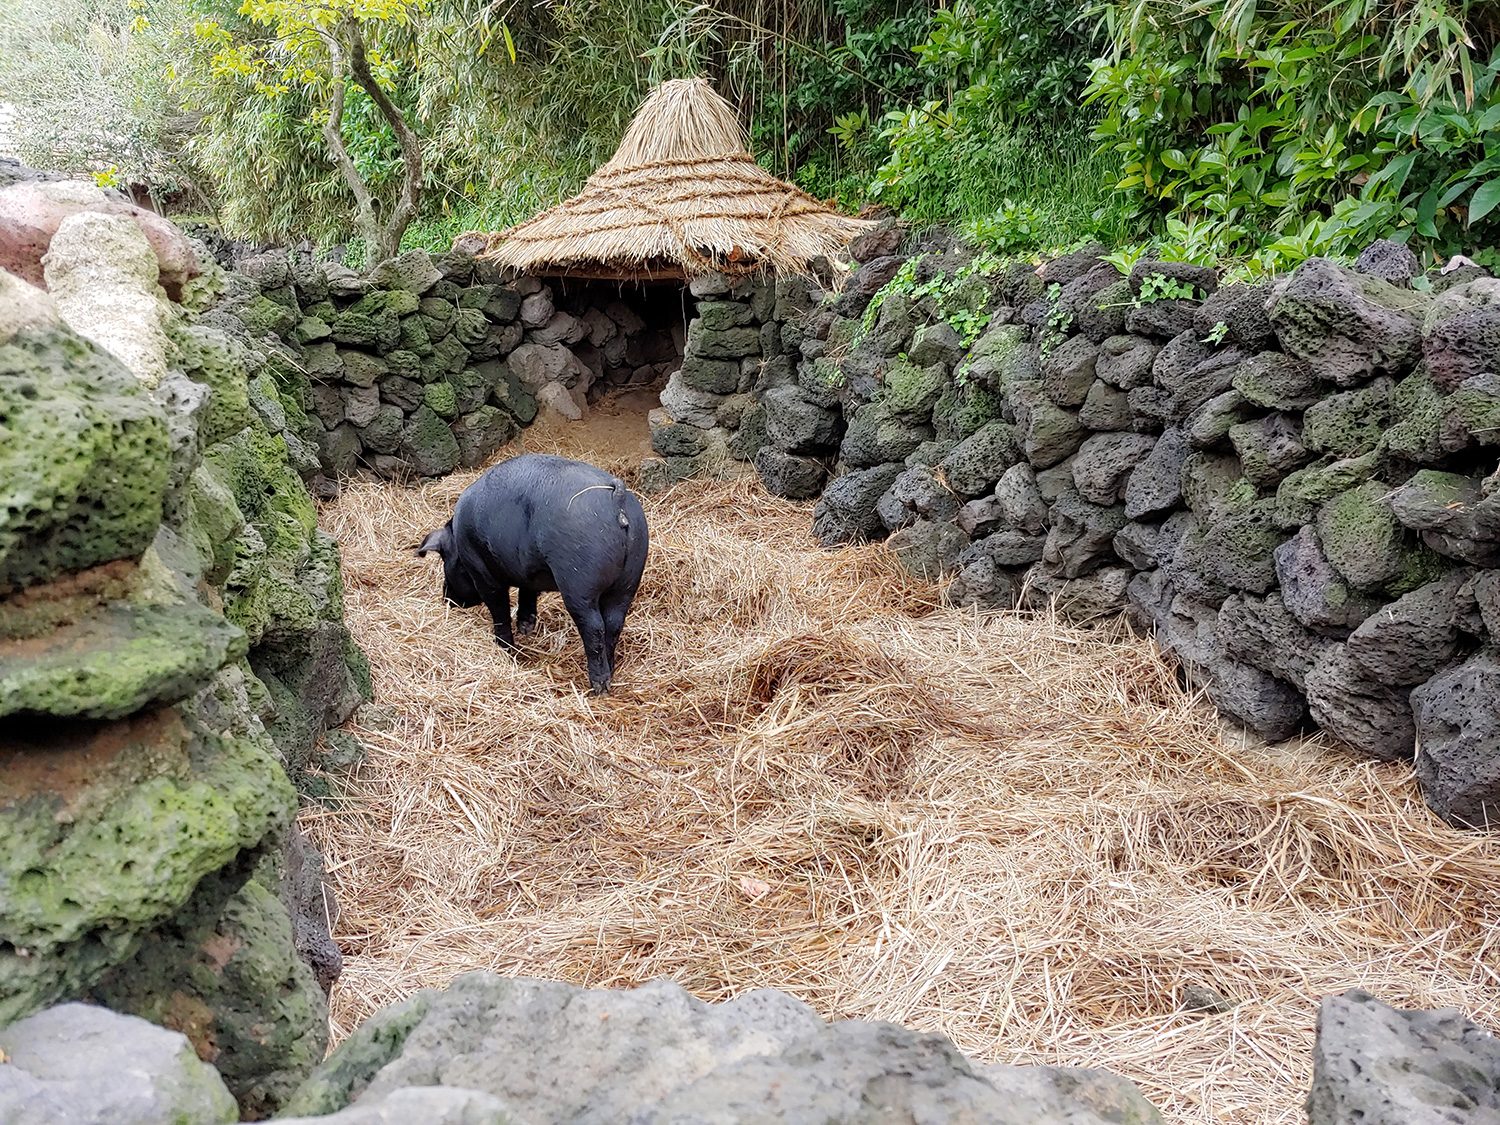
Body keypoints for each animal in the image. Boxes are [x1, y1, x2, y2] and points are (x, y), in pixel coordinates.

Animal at [416, 453, 649, 694]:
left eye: (445, 560)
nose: (446, 599)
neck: (459, 540)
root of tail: (616, 499)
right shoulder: (527, 571)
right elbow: (527, 591)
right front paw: (526, 628)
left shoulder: (481, 571)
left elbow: (498, 607)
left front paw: (505, 648)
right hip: (630, 577)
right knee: (614, 622)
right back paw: (610, 672)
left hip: (578, 581)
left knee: (594, 627)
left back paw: (599, 686)